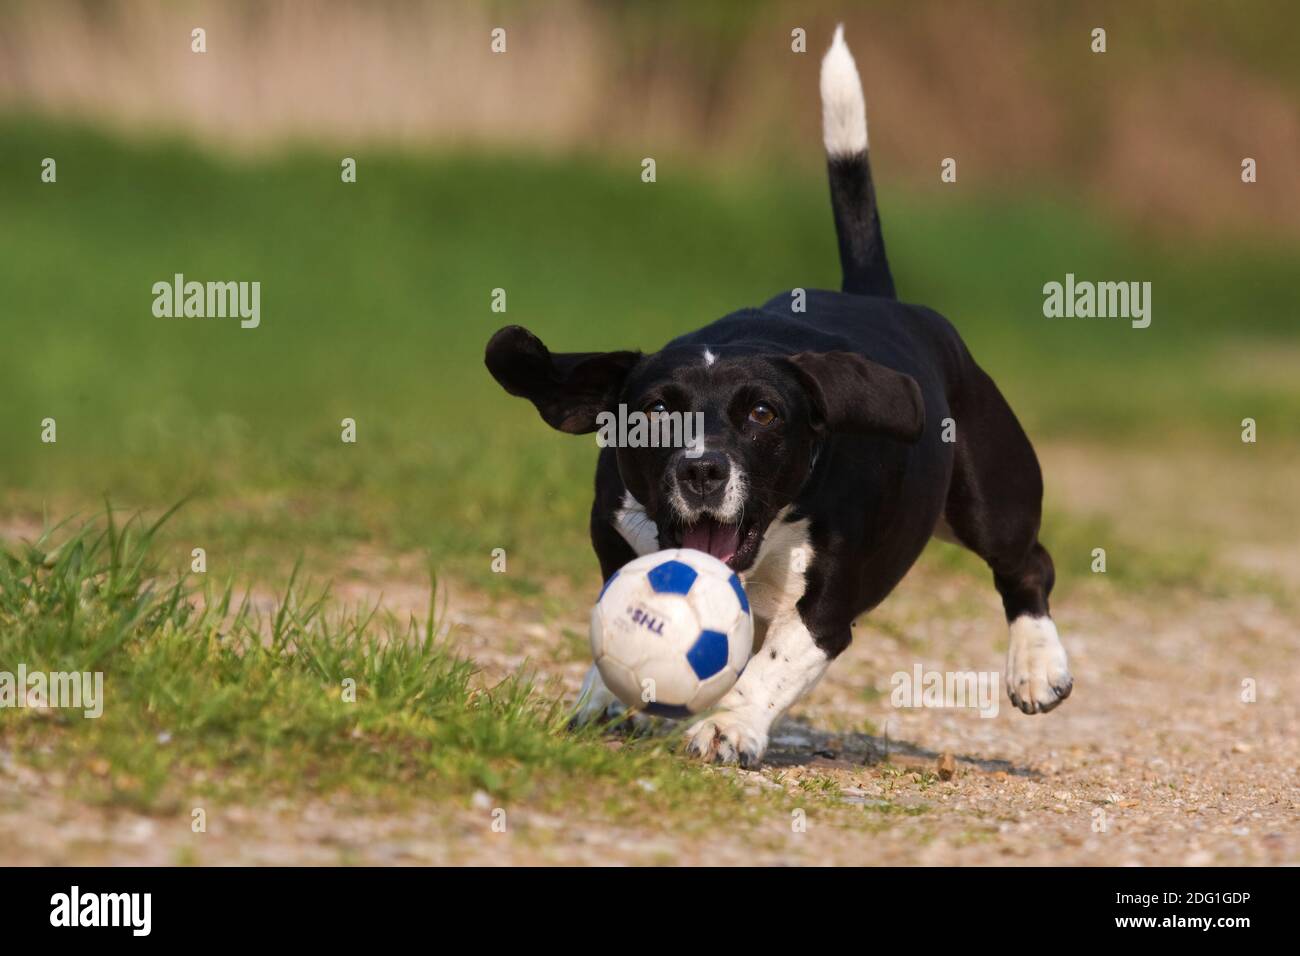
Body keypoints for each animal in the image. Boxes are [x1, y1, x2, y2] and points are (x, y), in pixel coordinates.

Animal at [483, 26, 1071, 764]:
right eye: (655, 414)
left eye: (762, 414)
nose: (703, 470)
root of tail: (883, 299)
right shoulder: (617, 537)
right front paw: (603, 698)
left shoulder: (827, 607)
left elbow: (776, 663)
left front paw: (727, 726)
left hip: (992, 498)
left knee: (1027, 564)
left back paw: (1037, 665)